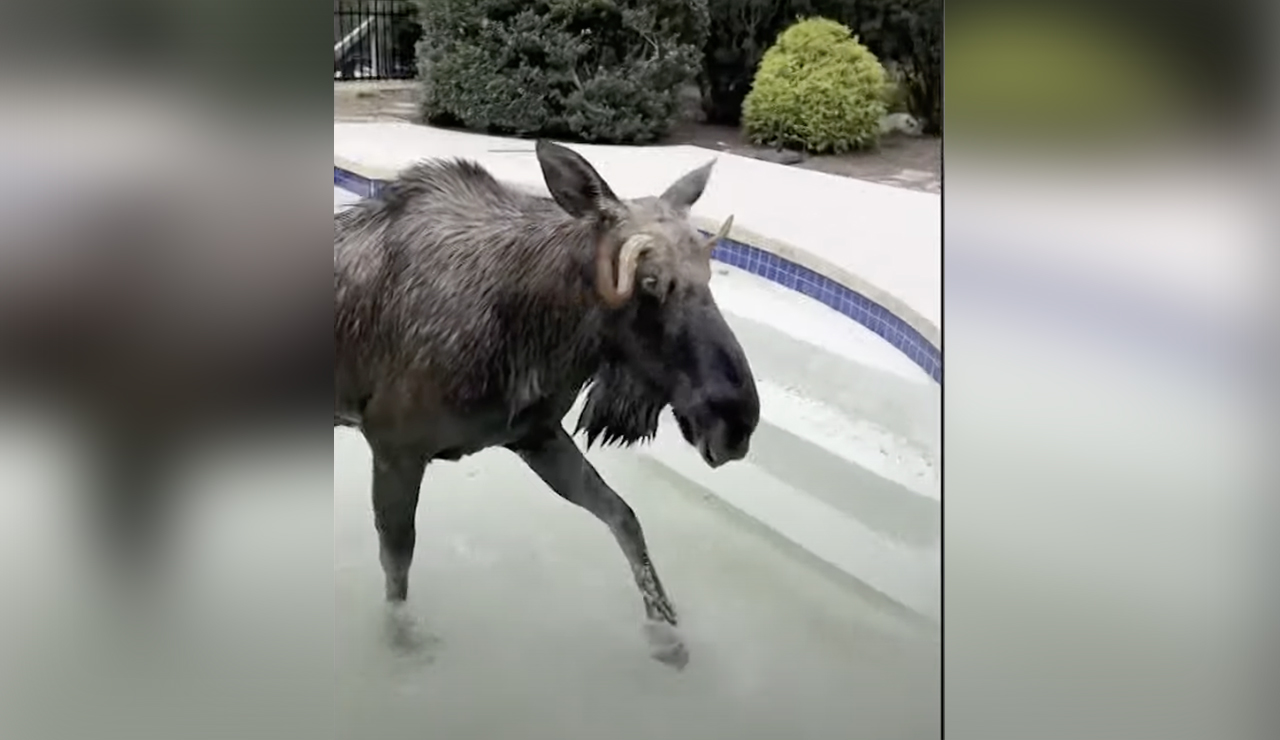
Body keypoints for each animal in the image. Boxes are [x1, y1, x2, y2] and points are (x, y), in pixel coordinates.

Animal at [335, 138, 762, 660]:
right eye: (649, 281)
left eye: (708, 275)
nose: (736, 421)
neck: (539, 330)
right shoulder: (394, 445)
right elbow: (397, 571)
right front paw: (402, 644)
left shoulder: (535, 436)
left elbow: (623, 516)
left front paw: (666, 631)